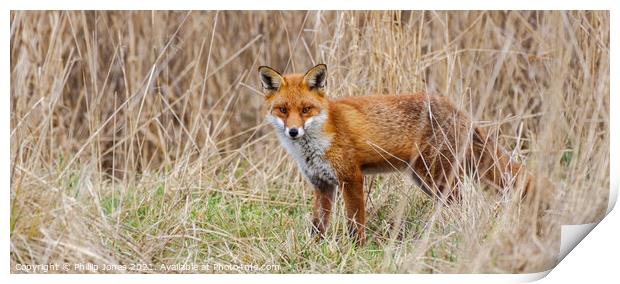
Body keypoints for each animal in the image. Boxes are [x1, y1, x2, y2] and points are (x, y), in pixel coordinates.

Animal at [256, 63, 536, 243]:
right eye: (282, 110)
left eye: (305, 110)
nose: (293, 131)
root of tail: (456, 109)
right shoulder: (322, 184)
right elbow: (318, 226)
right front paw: (313, 250)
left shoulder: (351, 178)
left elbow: (355, 222)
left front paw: (356, 249)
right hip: (425, 180)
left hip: (436, 177)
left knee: (461, 205)